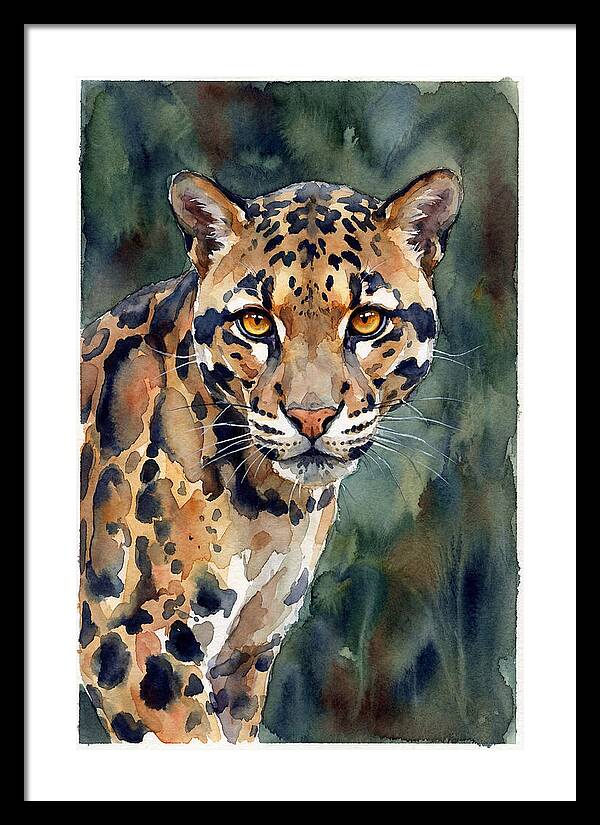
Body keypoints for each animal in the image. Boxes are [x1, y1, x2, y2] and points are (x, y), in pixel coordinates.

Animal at [79, 168, 463, 744]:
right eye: (256, 323)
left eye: (368, 321)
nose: (312, 416)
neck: (272, 507)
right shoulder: (133, 644)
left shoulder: (244, 657)